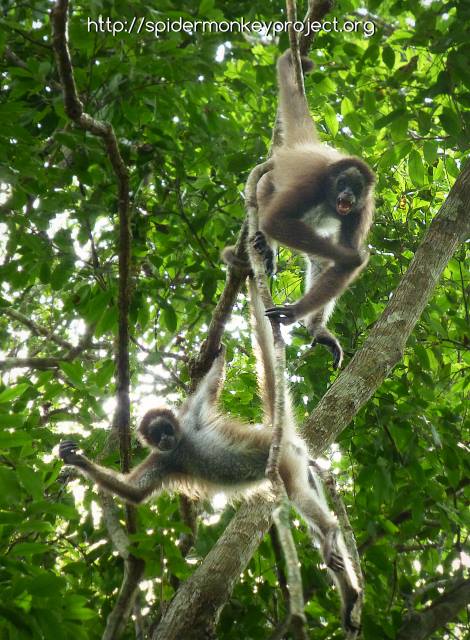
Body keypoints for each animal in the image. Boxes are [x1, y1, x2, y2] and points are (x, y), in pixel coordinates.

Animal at [223, 50, 375, 369]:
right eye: (343, 183)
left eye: (355, 188)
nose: (347, 194)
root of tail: (304, 145)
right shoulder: (312, 184)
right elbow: (276, 220)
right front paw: (354, 257)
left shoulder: (363, 207)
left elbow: (339, 264)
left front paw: (297, 315)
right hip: (268, 180)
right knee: (268, 209)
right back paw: (265, 246)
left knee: (320, 260)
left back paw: (316, 329)